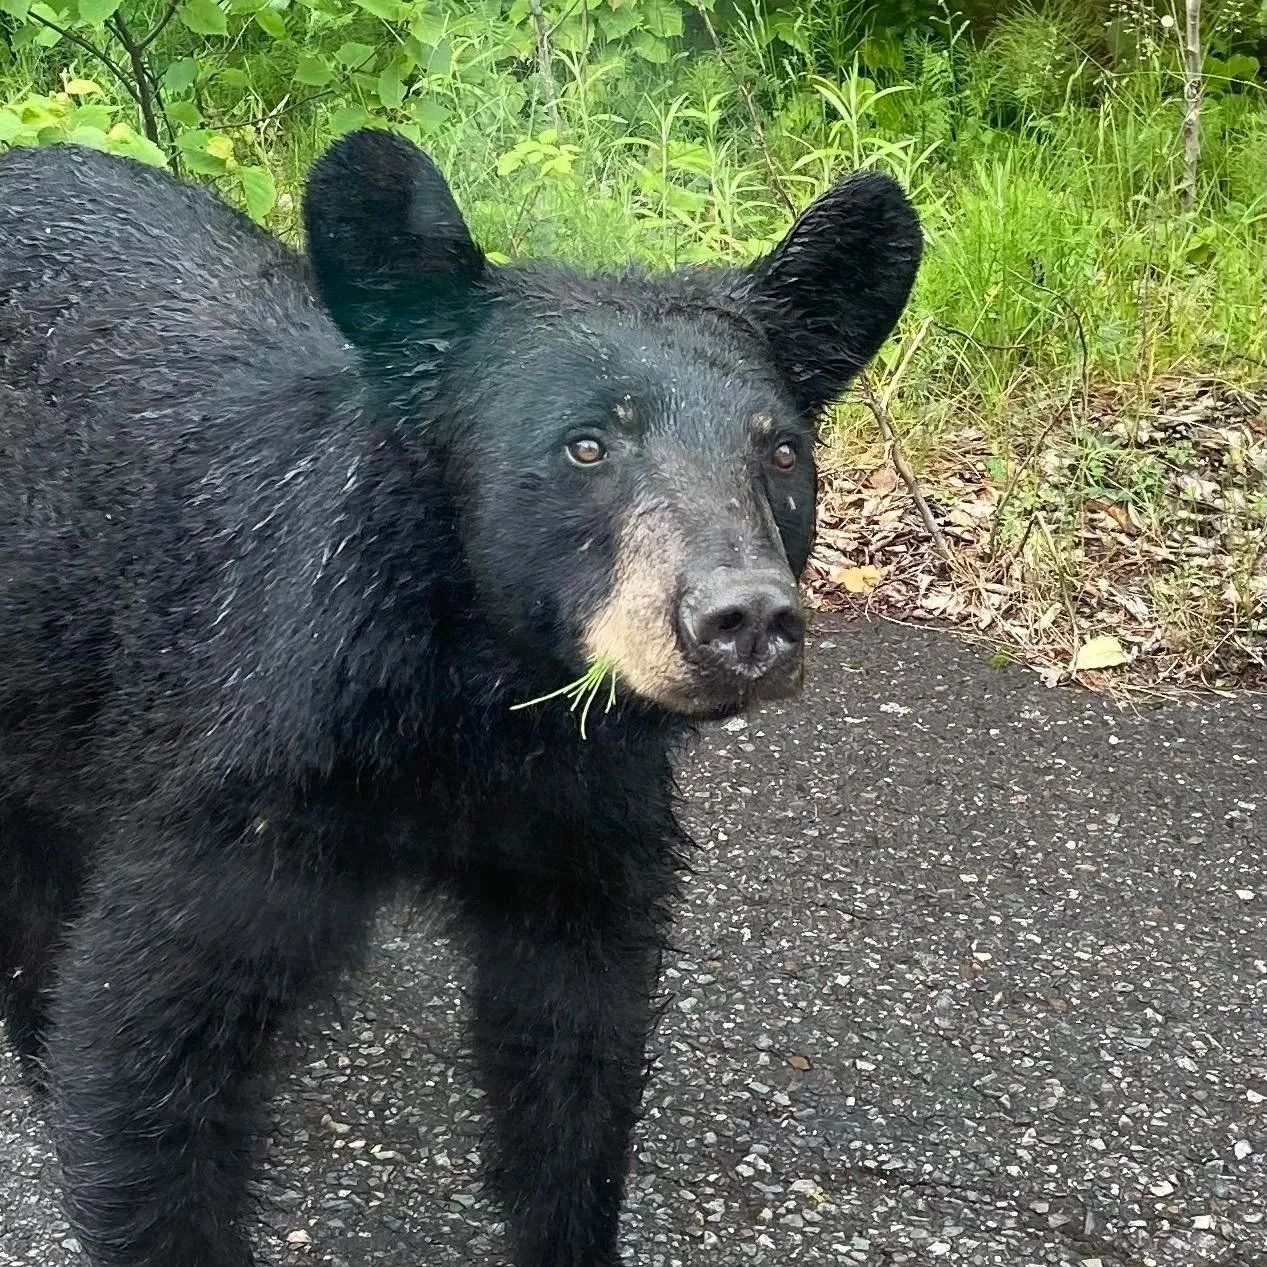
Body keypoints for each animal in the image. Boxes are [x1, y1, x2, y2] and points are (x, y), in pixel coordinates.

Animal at [0, 128, 922, 1267]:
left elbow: (573, 1058)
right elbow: (144, 1047)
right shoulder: (245, 770)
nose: (745, 620)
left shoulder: (579, 817)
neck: (474, 703)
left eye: (781, 451)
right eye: (586, 444)